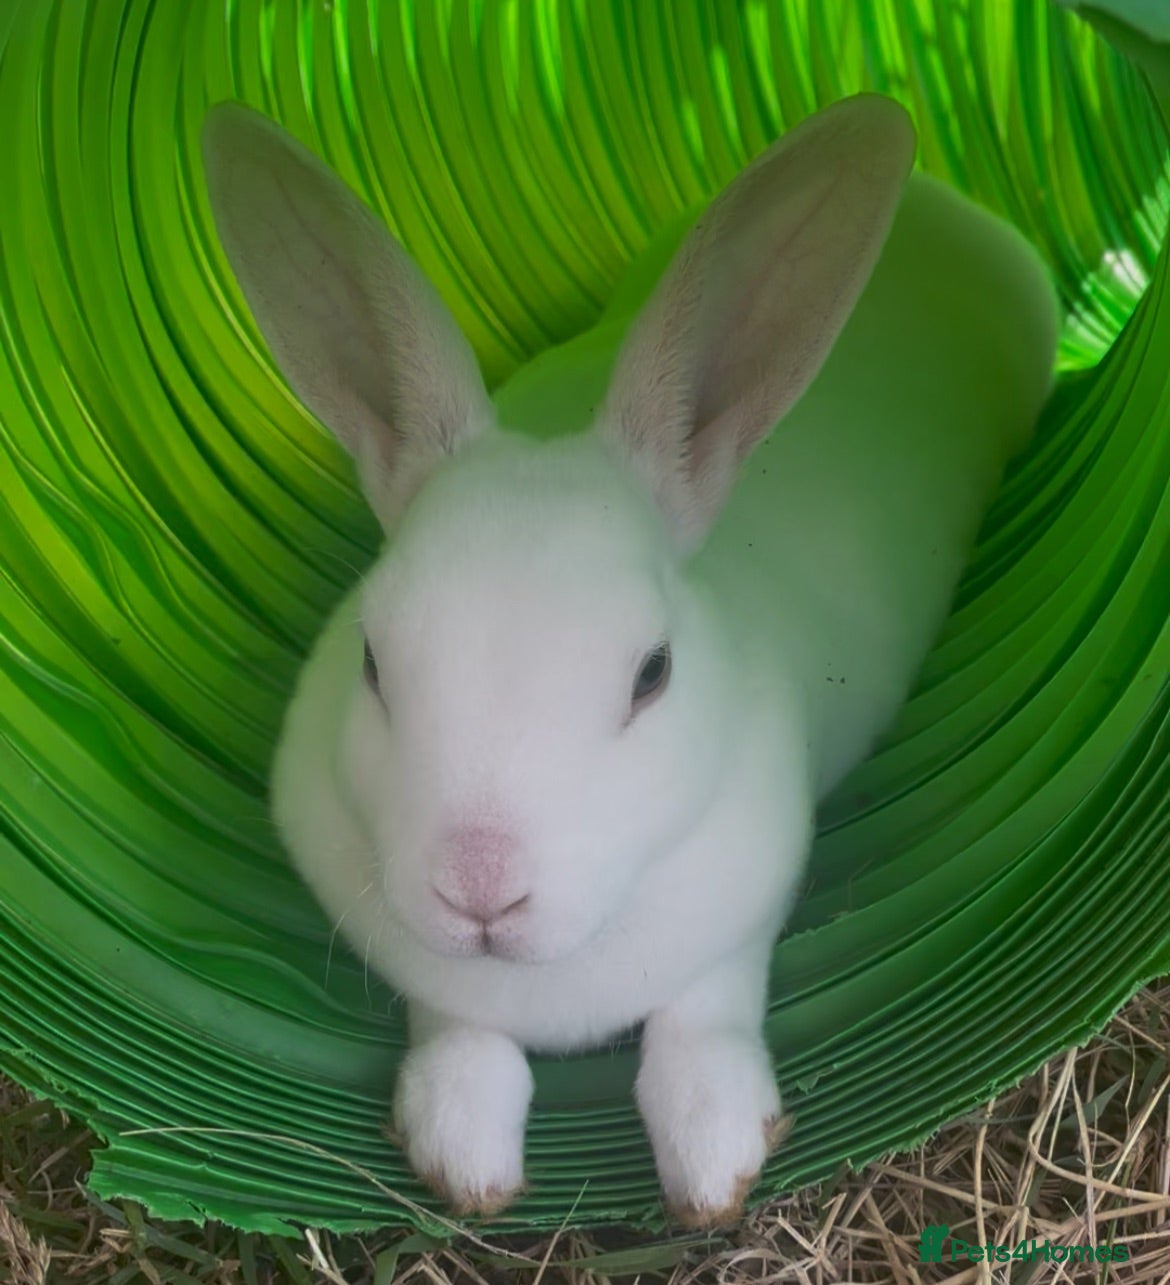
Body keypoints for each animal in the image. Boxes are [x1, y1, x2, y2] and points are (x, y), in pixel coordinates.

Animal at [201, 94, 1059, 1226]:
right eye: (374, 662)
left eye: (652, 673)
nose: (480, 891)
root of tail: (943, 208)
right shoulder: (434, 984)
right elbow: (464, 1050)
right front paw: (465, 1166)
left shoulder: (737, 927)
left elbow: (698, 1040)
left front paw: (717, 1170)